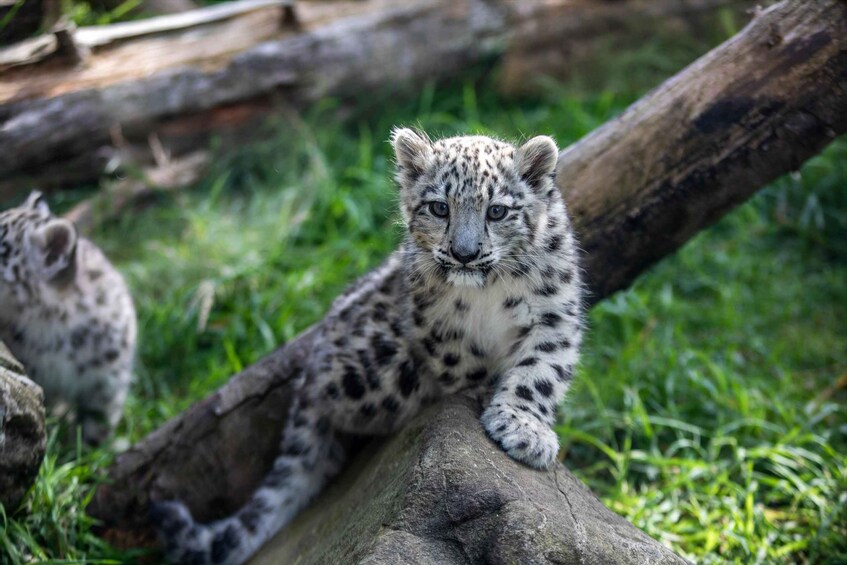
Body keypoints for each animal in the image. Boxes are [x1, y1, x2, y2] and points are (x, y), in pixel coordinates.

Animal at [151, 129, 585, 564]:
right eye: (439, 207)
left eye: (497, 211)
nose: (465, 254)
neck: (489, 293)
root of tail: (307, 375)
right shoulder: (436, 325)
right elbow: (461, 365)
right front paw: (486, 393)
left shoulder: (554, 316)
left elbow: (539, 374)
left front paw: (525, 429)